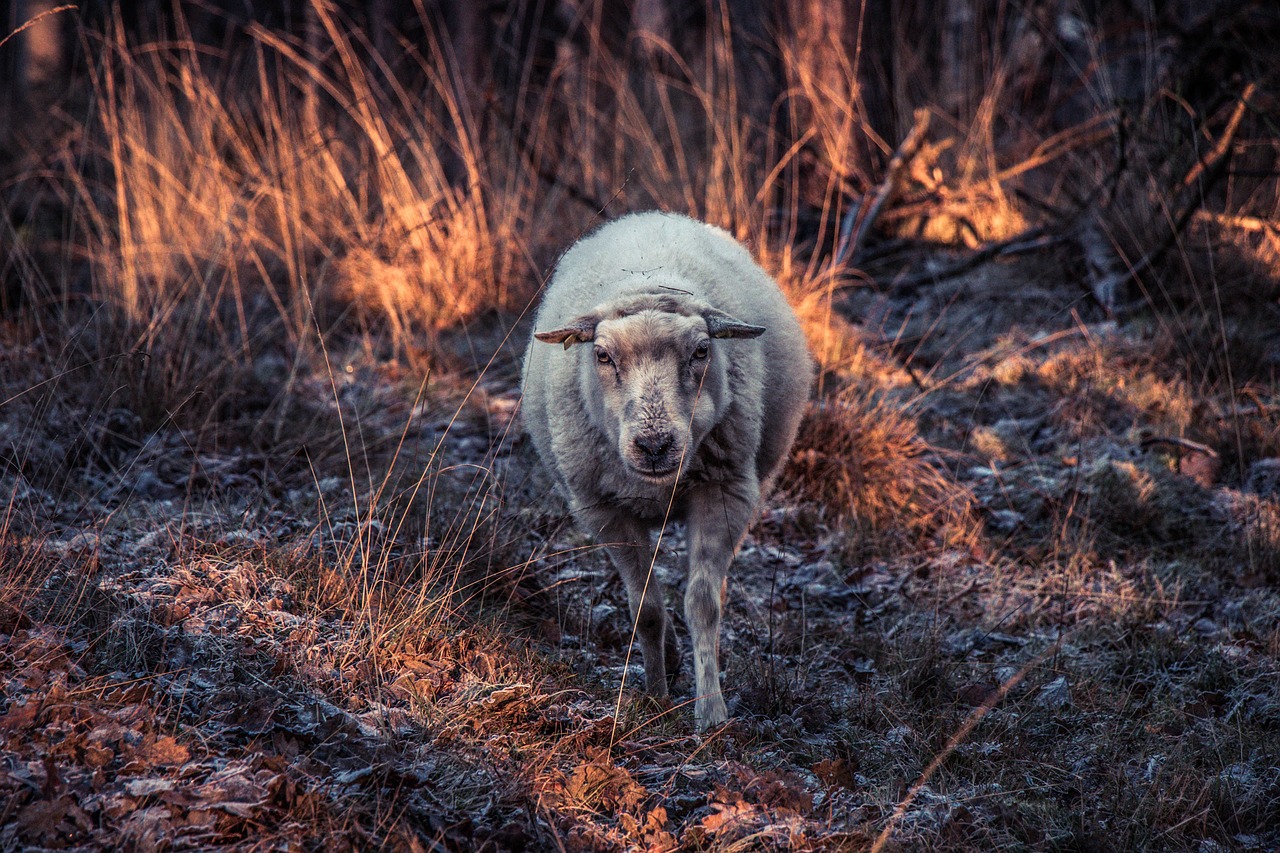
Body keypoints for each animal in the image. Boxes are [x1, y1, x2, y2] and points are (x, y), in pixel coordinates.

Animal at [517, 208, 808, 727]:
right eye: (602, 355)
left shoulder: (723, 493)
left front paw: (710, 712)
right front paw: (655, 695)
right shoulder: (606, 511)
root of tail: (653, 216)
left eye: (701, 351)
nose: (654, 445)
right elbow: (646, 609)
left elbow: (703, 605)